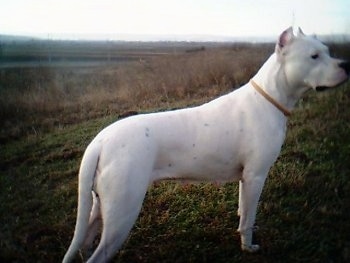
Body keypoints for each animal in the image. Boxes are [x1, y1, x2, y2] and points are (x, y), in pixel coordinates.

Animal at [63, 27, 348, 262]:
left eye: (327, 51)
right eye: (314, 56)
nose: (346, 65)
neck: (269, 96)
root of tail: (100, 141)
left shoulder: (246, 179)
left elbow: (243, 210)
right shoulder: (256, 175)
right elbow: (250, 218)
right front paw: (248, 247)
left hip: (99, 206)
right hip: (122, 212)